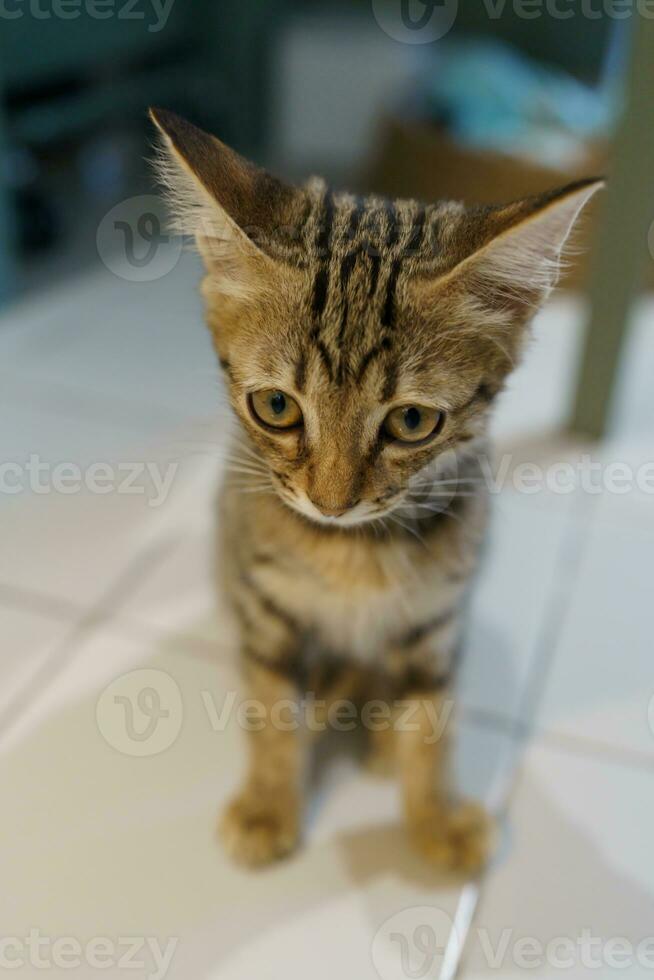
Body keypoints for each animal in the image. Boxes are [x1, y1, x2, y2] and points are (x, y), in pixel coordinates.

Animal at [151, 109, 604, 872]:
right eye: (276, 406)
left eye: (412, 422)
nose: (330, 502)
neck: (351, 550)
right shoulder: (266, 604)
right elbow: (272, 707)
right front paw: (270, 802)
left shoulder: (438, 612)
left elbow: (434, 713)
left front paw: (434, 813)